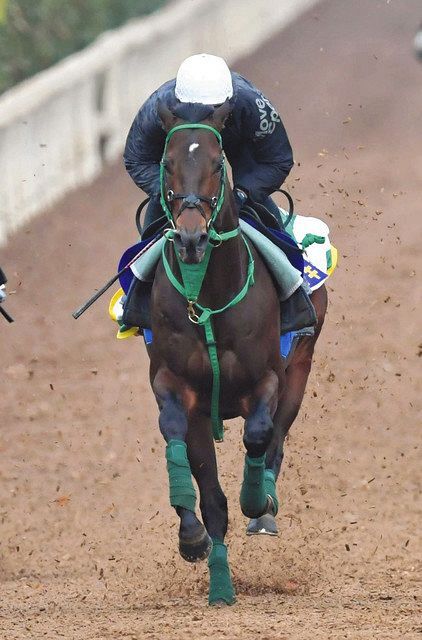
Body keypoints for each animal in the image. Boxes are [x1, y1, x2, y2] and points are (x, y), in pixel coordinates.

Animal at [147, 100, 328, 604]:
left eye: (216, 163)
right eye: (167, 163)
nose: (191, 239)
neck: (208, 295)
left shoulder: (265, 379)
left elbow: (259, 435)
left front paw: (256, 500)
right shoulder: (176, 386)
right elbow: (184, 451)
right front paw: (192, 538)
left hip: (300, 368)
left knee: (276, 438)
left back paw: (263, 507)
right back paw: (220, 578)